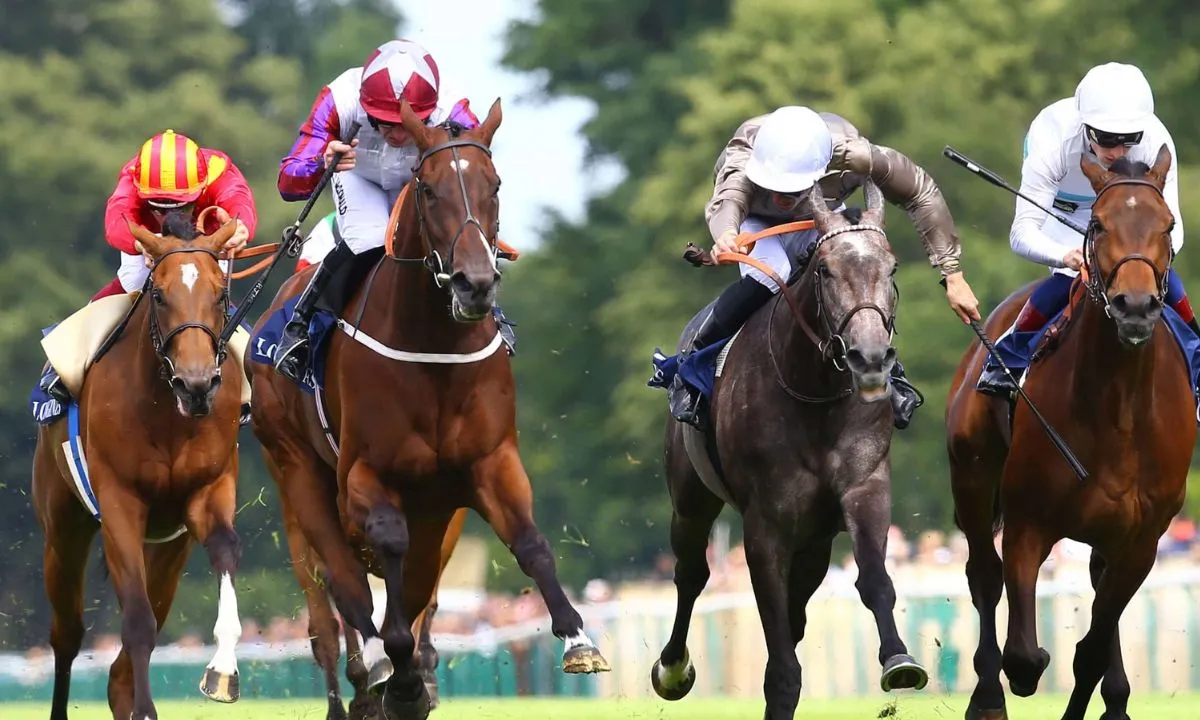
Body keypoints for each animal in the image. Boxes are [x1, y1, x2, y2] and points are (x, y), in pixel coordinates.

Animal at [31, 211, 246, 720]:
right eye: (160, 295)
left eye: (221, 294)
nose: (196, 385)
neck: (167, 411)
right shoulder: (120, 505)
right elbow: (137, 622)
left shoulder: (208, 494)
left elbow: (226, 550)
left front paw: (222, 670)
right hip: (62, 530)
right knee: (67, 636)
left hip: (169, 549)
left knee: (120, 669)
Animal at [248, 97, 609, 720]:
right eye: (430, 189)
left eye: (495, 185)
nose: (475, 283)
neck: (435, 347)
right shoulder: (364, 474)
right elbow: (387, 553)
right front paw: (396, 668)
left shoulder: (488, 462)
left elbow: (530, 541)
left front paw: (577, 638)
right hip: (295, 469)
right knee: (337, 587)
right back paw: (368, 671)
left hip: (437, 507)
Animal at [650, 180, 929, 720]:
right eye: (825, 271)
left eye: (892, 268)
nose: (869, 358)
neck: (814, 393)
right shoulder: (765, 525)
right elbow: (778, 649)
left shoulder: (865, 487)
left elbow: (873, 577)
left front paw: (899, 659)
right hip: (690, 499)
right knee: (691, 573)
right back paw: (672, 668)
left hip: (814, 541)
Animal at [945, 145, 1194, 720]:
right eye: (1098, 224)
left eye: (1168, 224)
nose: (1135, 307)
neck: (1120, 412)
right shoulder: (1028, 523)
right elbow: (1023, 656)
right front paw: (1015, 677)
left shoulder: (1142, 539)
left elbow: (1093, 648)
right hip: (972, 479)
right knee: (984, 576)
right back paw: (986, 697)